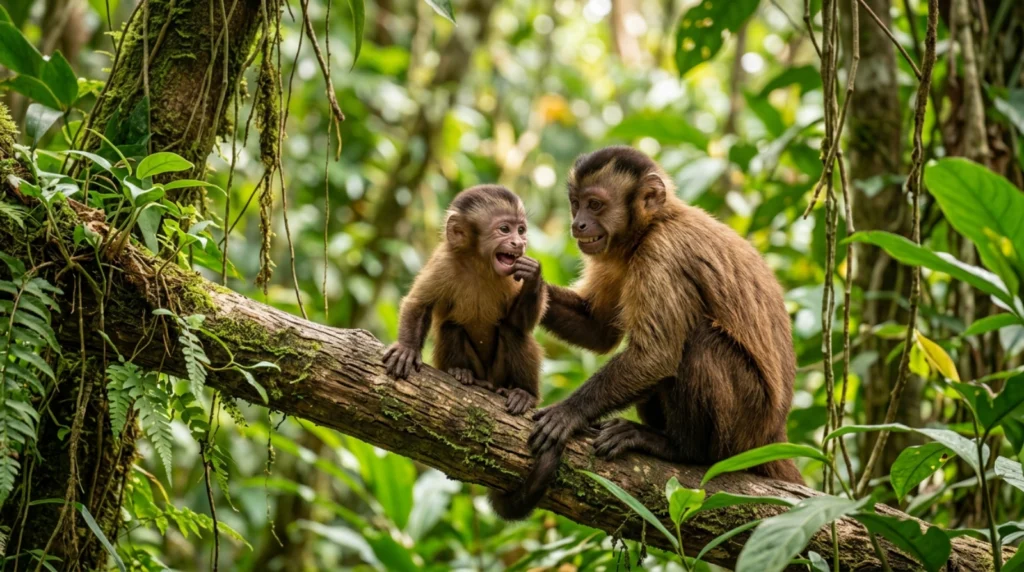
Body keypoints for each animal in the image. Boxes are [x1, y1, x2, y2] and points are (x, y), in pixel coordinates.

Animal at [514, 146, 802, 517]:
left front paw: (570, 412)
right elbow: (598, 331)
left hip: (747, 424)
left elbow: (656, 356)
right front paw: (528, 282)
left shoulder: (663, 254)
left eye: (595, 204)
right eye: (575, 203)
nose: (577, 224)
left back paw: (681, 449)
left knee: (699, 342)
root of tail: (773, 434)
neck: (653, 225)